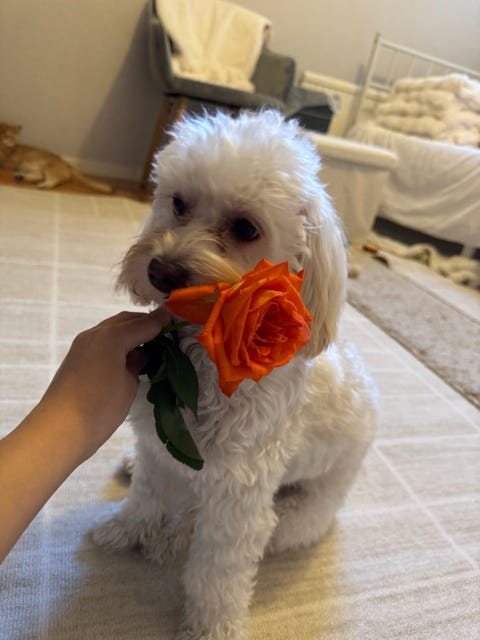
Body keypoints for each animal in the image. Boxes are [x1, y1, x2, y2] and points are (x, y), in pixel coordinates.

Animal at [92, 110, 377, 640]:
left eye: (246, 228)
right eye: (178, 203)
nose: (160, 272)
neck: (200, 363)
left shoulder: (239, 500)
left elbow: (215, 576)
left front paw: (210, 627)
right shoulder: (160, 447)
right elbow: (146, 497)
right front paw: (126, 530)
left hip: (292, 516)